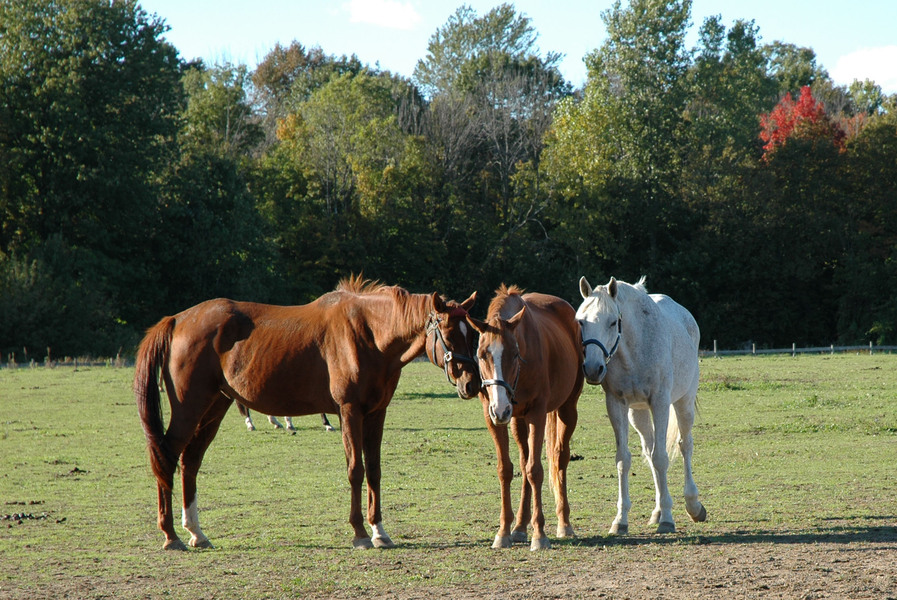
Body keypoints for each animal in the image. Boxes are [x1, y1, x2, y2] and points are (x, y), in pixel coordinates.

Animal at [134, 276, 480, 548]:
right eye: (449, 334)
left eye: (473, 334)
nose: (472, 383)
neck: (367, 333)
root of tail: (178, 320)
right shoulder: (350, 412)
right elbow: (356, 470)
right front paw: (360, 533)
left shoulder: (376, 414)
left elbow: (374, 471)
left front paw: (380, 532)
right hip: (189, 408)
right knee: (167, 457)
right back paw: (170, 535)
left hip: (215, 406)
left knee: (190, 461)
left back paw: (196, 532)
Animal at [466, 284, 584, 552]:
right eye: (482, 354)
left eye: (515, 353)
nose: (501, 408)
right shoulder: (493, 417)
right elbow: (507, 469)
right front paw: (504, 532)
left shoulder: (537, 414)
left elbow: (535, 470)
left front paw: (539, 535)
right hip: (516, 420)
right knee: (523, 461)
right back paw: (520, 527)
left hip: (566, 409)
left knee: (560, 459)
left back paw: (564, 523)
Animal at [576, 276, 708, 536]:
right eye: (581, 321)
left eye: (613, 322)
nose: (593, 369)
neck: (633, 351)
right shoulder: (616, 404)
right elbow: (624, 460)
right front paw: (620, 520)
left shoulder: (660, 402)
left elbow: (661, 458)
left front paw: (668, 519)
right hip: (638, 414)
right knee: (649, 450)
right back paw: (656, 511)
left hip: (683, 403)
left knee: (685, 445)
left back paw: (693, 506)